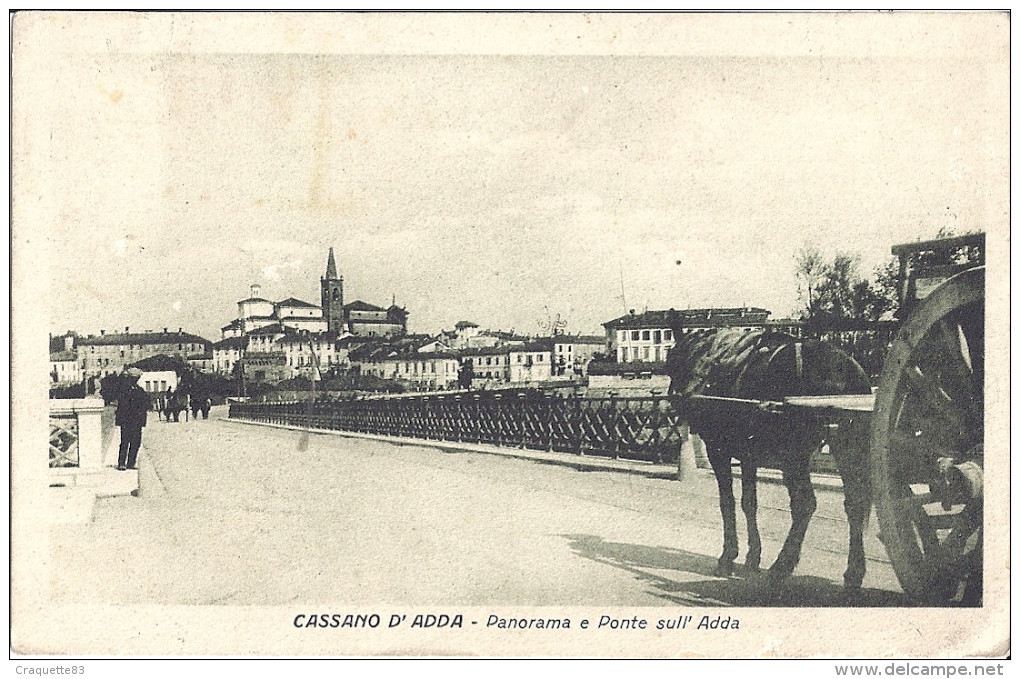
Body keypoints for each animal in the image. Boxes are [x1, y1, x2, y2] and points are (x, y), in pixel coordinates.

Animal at [665, 326, 873, 587]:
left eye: (672, 366)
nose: (676, 399)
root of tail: (843, 366)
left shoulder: (718, 450)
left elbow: (727, 502)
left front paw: (728, 556)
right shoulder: (748, 455)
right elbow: (749, 503)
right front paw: (753, 556)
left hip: (795, 455)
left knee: (804, 504)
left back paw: (782, 565)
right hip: (847, 446)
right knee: (855, 504)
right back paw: (854, 571)